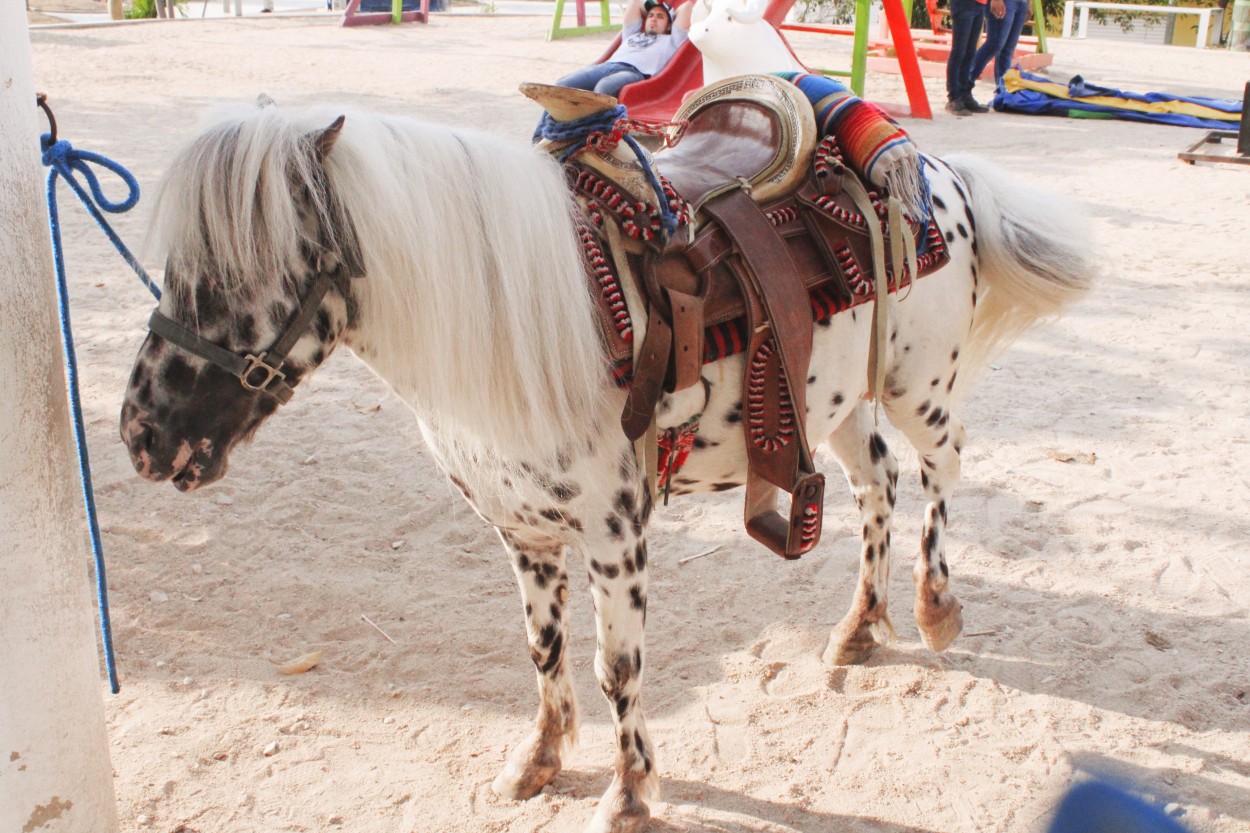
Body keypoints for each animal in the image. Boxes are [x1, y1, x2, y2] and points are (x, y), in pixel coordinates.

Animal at [117, 98, 1095, 830]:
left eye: (236, 274)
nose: (140, 433)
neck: (522, 324)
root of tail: (935, 168)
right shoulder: (523, 531)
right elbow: (543, 648)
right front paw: (540, 759)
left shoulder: (615, 533)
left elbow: (615, 668)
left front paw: (628, 795)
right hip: (840, 402)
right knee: (877, 484)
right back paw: (858, 627)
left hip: (917, 386)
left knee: (942, 473)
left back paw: (934, 609)